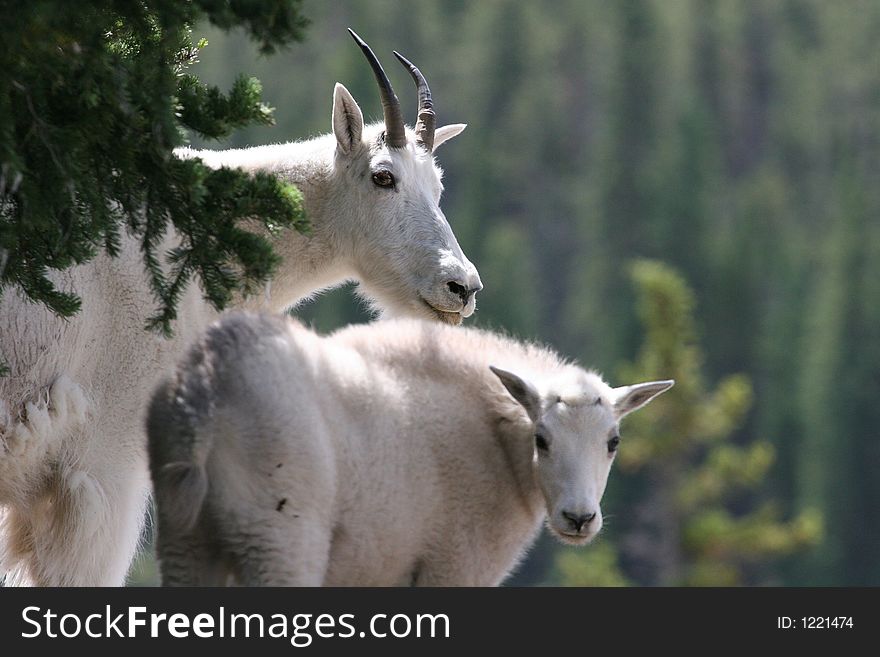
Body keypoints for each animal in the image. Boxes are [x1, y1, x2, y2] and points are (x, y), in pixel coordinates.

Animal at [150, 312, 672, 584]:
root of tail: (206, 389)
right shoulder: (456, 566)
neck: (500, 448)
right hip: (278, 537)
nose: (579, 519)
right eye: (541, 439)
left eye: (613, 441)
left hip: (184, 538)